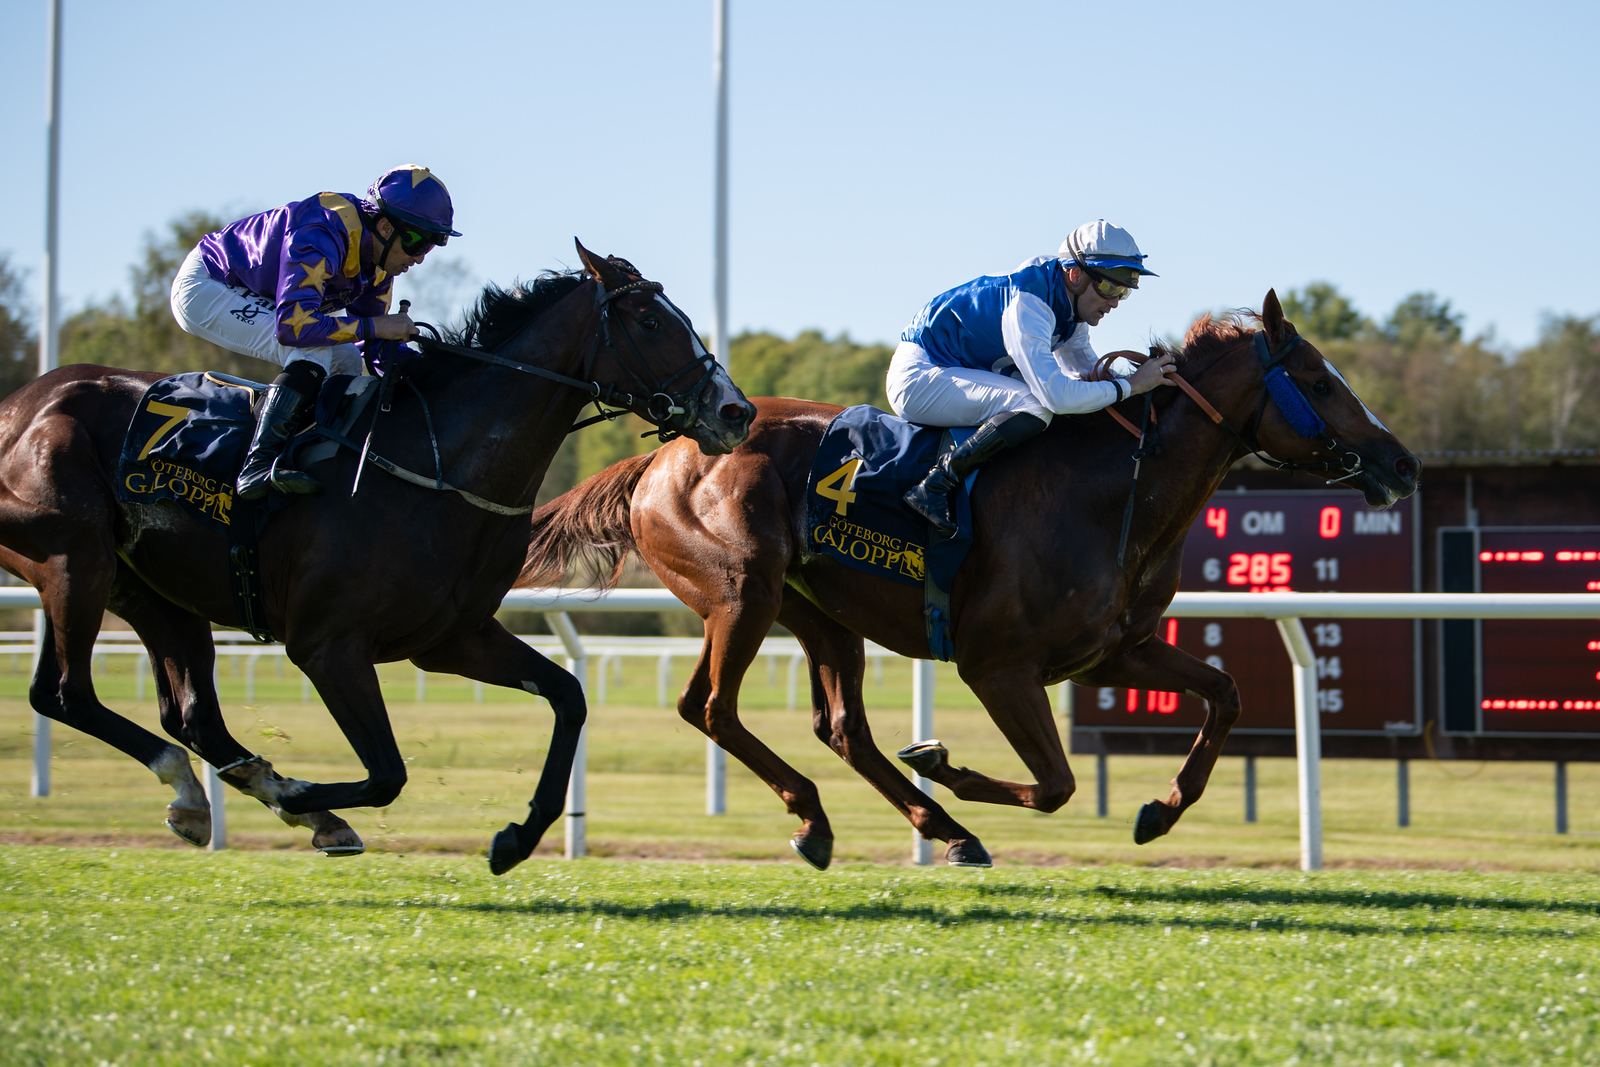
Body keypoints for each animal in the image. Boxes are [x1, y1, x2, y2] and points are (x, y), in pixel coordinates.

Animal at [0, 240, 756, 875]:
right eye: (651, 321)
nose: (736, 411)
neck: (435, 464)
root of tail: (21, 402)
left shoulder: (450, 637)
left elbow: (568, 696)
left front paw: (517, 837)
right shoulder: (327, 645)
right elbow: (389, 772)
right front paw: (297, 795)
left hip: (155, 593)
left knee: (182, 714)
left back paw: (214, 790)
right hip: (75, 559)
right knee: (66, 692)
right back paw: (241, 787)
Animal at [520, 290, 1420, 868]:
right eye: (1319, 381)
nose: (1403, 462)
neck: (1114, 491)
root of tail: (663, 453)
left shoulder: (1112, 651)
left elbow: (1227, 693)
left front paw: (1159, 811)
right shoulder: (999, 666)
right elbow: (1056, 783)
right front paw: (945, 760)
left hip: (819, 611)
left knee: (842, 727)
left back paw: (933, 826)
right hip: (744, 591)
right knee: (709, 705)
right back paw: (838, 815)